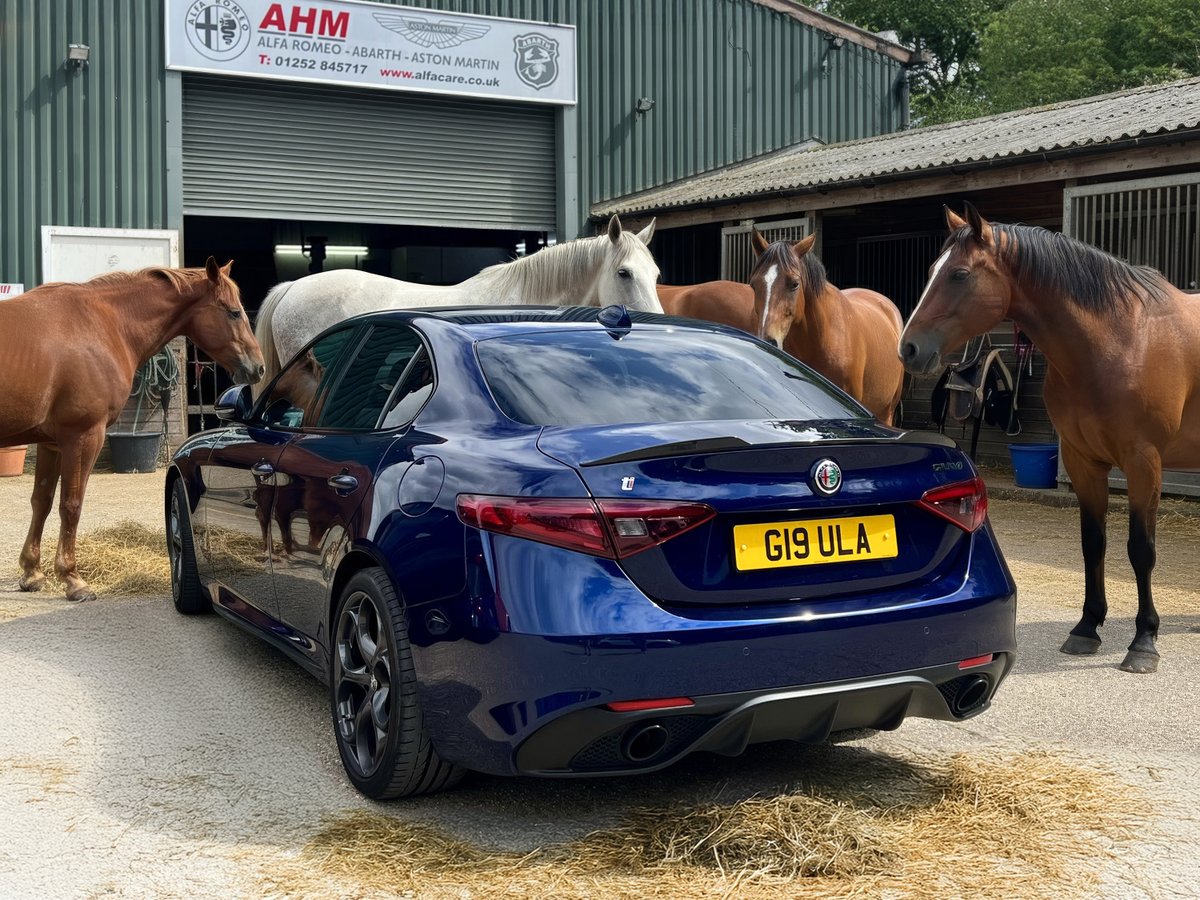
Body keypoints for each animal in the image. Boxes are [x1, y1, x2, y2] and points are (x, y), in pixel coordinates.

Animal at [0, 258, 265, 603]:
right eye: (234, 312)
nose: (258, 367)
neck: (102, 323)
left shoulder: (52, 443)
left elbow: (41, 501)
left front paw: (32, 573)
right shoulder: (83, 437)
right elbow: (71, 505)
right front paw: (72, 579)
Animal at [898, 202, 1200, 674]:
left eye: (959, 274)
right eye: (932, 270)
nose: (908, 349)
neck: (1120, 340)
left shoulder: (1143, 463)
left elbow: (1141, 549)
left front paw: (1143, 642)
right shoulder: (1082, 460)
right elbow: (1092, 544)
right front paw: (1086, 628)